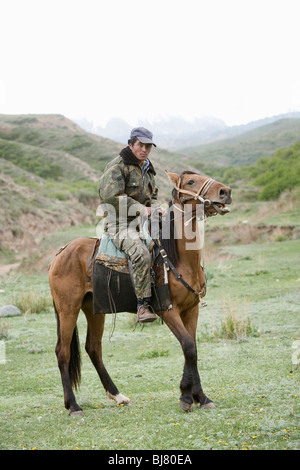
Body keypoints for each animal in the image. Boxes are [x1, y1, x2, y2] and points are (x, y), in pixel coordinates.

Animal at [49, 170, 232, 414]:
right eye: (191, 181)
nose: (225, 192)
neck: (178, 258)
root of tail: (60, 254)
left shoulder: (191, 310)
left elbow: (192, 349)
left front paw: (200, 397)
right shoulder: (168, 310)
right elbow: (188, 346)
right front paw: (186, 396)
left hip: (94, 309)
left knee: (93, 348)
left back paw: (118, 396)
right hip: (68, 309)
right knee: (63, 352)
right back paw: (74, 405)